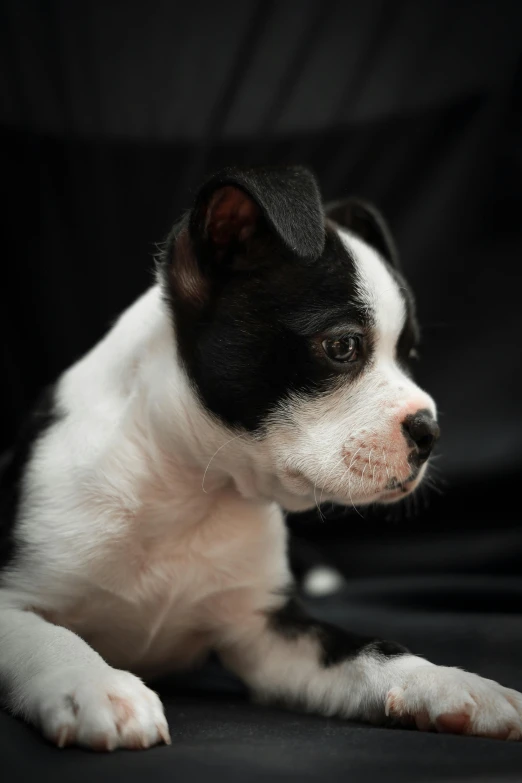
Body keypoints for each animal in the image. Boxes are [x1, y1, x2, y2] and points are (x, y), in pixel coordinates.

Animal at [1, 165, 520, 748]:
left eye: (410, 357)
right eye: (343, 347)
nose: (430, 430)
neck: (191, 491)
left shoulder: (270, 632)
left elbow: (372, 651)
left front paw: (453, 684)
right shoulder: (14, 593)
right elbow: (42, 634)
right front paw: (94, 684)